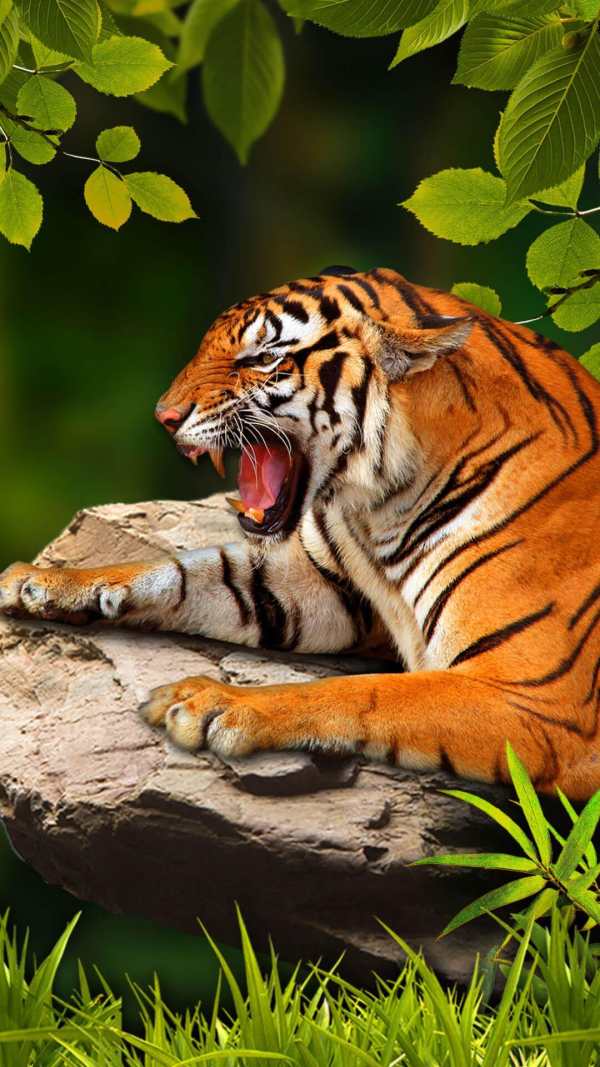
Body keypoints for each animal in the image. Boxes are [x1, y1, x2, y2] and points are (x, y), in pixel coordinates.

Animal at [1, 266, 599, 799]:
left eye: (263, 358)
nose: (164, 416)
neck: (380, 510)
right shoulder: (325, 586)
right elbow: (183, 571)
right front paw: (40, 582)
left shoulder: (538, 698)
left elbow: (366, 693)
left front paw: (212, 704)